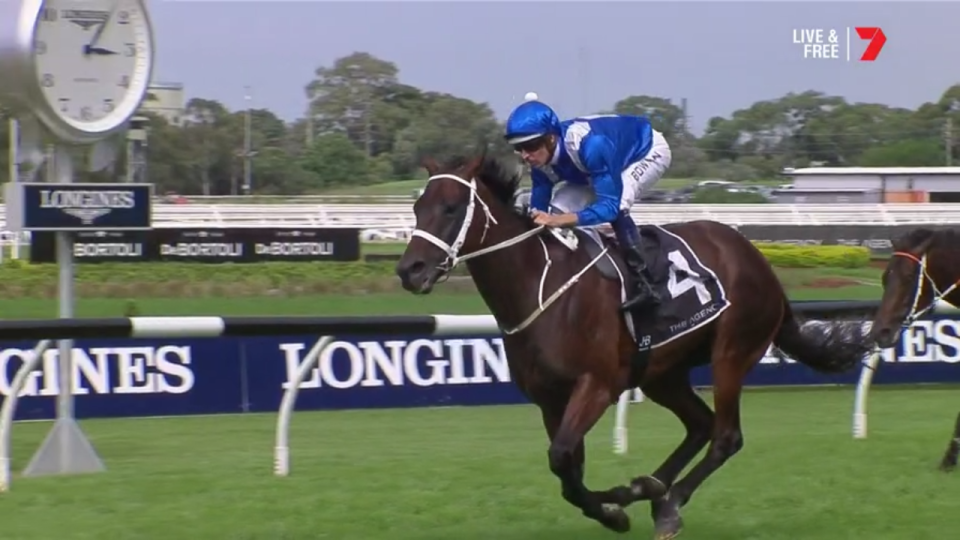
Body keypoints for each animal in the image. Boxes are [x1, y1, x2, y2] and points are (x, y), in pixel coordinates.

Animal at [394, 153, 872, 540]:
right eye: (416, 207)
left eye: (451, 208)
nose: (409, 270)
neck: (540, 289)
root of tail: (759, 262)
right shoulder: (549, 400)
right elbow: (568, 469)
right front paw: (614, 505)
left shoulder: (597, 385)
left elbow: (562, 458)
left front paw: (613, 511)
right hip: (663, 372)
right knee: (700, 424)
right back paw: (649, 489)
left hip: (733, 352)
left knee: (725, 436)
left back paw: (669, 504)